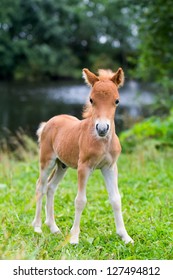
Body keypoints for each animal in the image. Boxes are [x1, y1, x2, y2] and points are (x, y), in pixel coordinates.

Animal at [31, 66, 133, 244]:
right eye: (91, 100)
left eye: (117, 101)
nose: (102, 128)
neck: (102, 141)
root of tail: (48, 123)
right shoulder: (84, 167)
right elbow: (80, 200)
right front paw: (74, 238)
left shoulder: (110, 167)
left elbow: (116, 199)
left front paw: (125, 236)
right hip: (47, 161)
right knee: (41, 187)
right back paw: (37, 227)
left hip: (62, 165)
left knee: (51, 187)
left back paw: (53, 228)